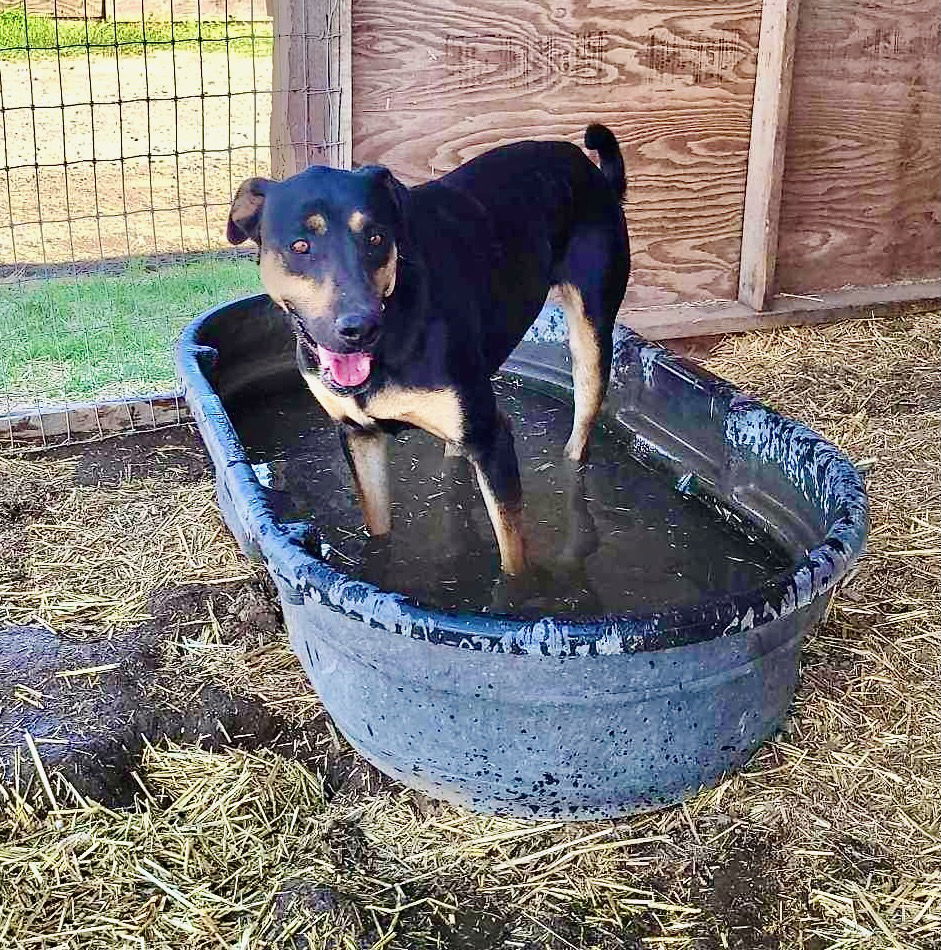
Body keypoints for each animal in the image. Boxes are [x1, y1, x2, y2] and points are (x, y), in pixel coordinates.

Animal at [224, 122, 628, 576]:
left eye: (376, 238)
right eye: (300, 246)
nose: (360, 328)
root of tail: (591, 171)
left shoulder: (492, 440)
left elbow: (513, 558)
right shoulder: (359, 435)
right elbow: (378, 527)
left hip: (591, 339)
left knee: (579, 435)